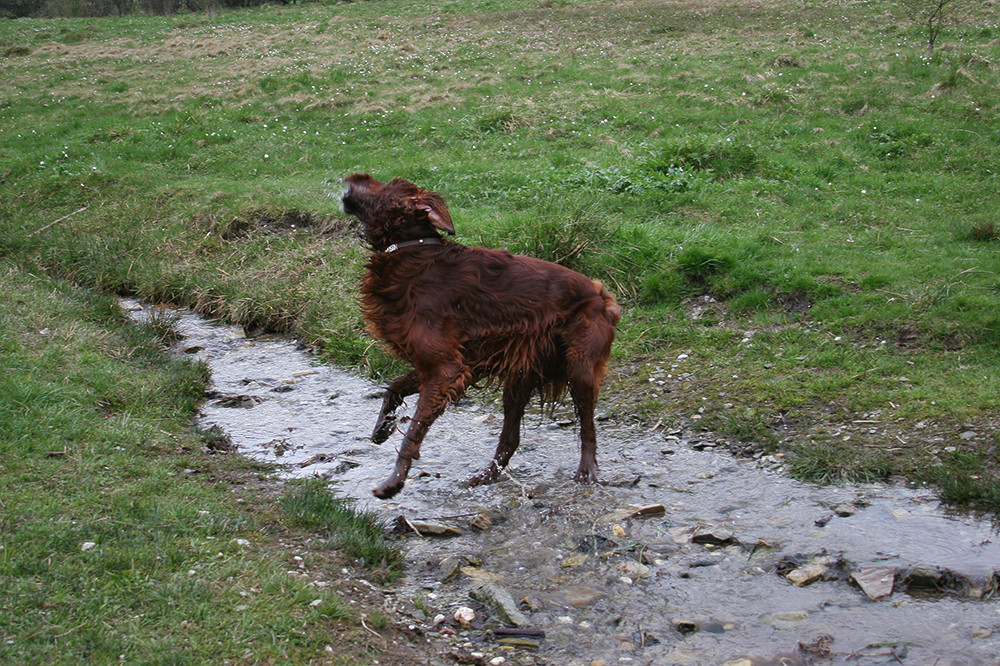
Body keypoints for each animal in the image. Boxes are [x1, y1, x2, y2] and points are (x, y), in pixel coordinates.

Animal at [346, 174, 624, 496]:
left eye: (380, 185)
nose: (354, 177)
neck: (412, 252)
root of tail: (603, 295)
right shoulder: (455, 365)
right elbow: (393, 388)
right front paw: (382, 428)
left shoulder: (445, 368)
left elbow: (413, 432)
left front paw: (393, 482)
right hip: (520, 378)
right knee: (510, 439)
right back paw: (485, 476)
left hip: (579, 367)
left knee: (587, 428)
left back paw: (587, 472)